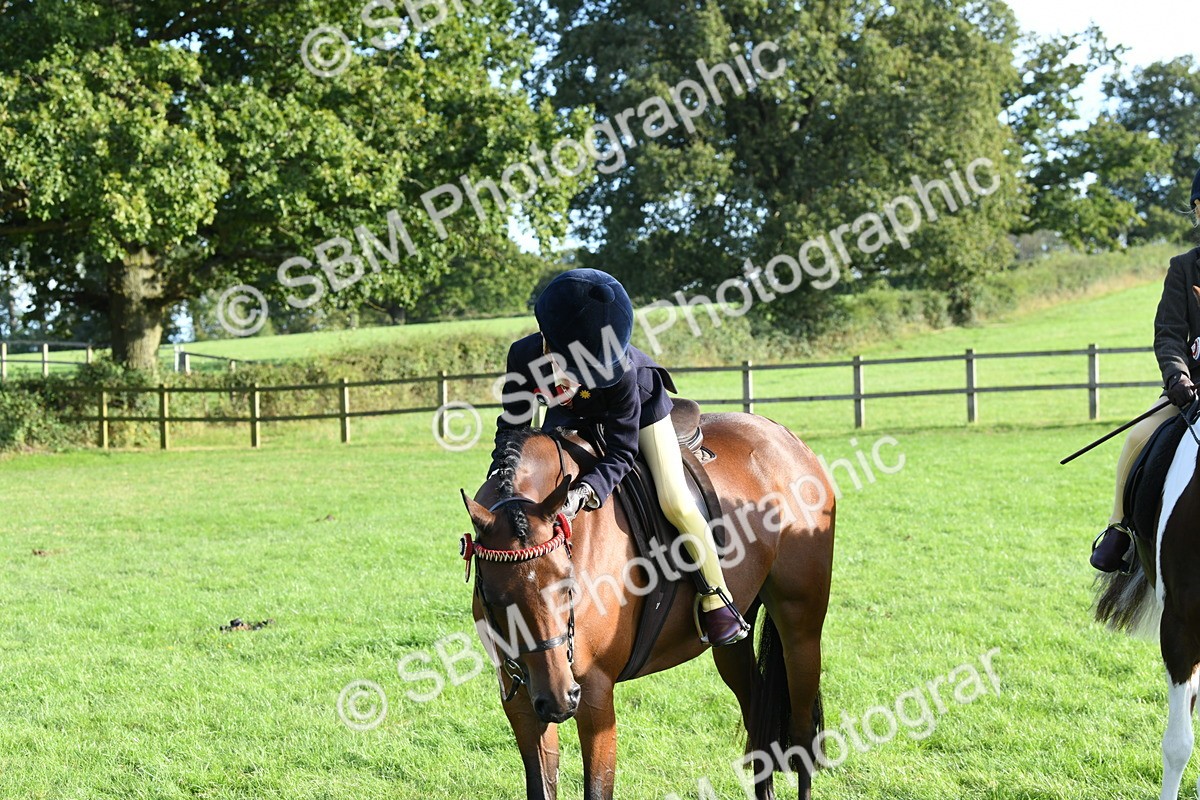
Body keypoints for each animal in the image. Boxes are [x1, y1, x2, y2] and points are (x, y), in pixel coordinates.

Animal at [459, 412, 835, 800]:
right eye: (495, 598)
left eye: (567, 585)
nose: (559, 699)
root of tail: (782, 434)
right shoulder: (521, 701)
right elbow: (541, 783)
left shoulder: (595, 696)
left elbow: (597, 787)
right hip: (733, 645)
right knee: (759, 723)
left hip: (800, 629)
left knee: (802, 733)